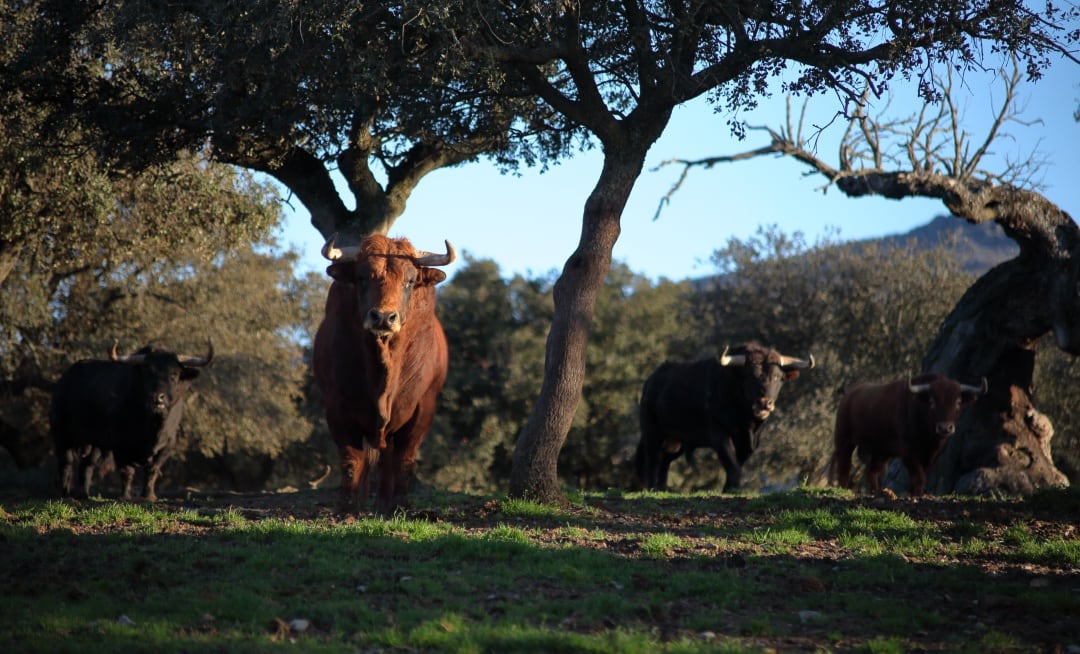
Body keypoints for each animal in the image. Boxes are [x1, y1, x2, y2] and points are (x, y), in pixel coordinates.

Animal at [50, 343, 212, 502]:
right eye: (147, 372)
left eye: (174, 374)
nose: (157, 398)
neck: (153, 426)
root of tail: (65, 378)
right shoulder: (120, 443)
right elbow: (127, 471)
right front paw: (125, 496)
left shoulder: (167, 445)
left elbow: (152, 470)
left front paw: (148, 496)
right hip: (61, 433)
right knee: (66, 461)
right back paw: (65, 493)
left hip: (95, 441)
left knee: (88, 463)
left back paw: (83, 493)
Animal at [311, 233, 453, 515]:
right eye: (363, 277)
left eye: (410, 280)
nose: (384, 318)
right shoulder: (336, 407)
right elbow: (351, 461)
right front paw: (347, 507)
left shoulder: (423, 407)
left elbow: (404, 461)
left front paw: (399, 505)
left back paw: (385, 503)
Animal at [630, 345, 812, 494]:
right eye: (750, 376)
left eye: (776, 377)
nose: (764, 403)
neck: (746, 420)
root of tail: (651, 381)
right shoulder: (720, 435)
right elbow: (732, 464)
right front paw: (730, 489)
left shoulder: (748, 442)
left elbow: (738, 463)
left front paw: (730, 487)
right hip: (652, 432)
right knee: (653, 458)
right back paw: (652, 487)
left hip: (676, 441)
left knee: (665, 460)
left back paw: (662, 488)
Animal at [829, 373, 989, 496]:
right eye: (932, 401)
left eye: (958, 401)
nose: (945, 428)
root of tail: (849, 394)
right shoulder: (909, 453)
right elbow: (919, 477)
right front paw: (916, 495)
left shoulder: (930, 457)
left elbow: (919, 476)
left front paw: (914, 494)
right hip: (844, 442)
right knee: (844, 469)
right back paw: (843, 490)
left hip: (880, 453)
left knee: (871, 472)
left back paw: (875, 492)